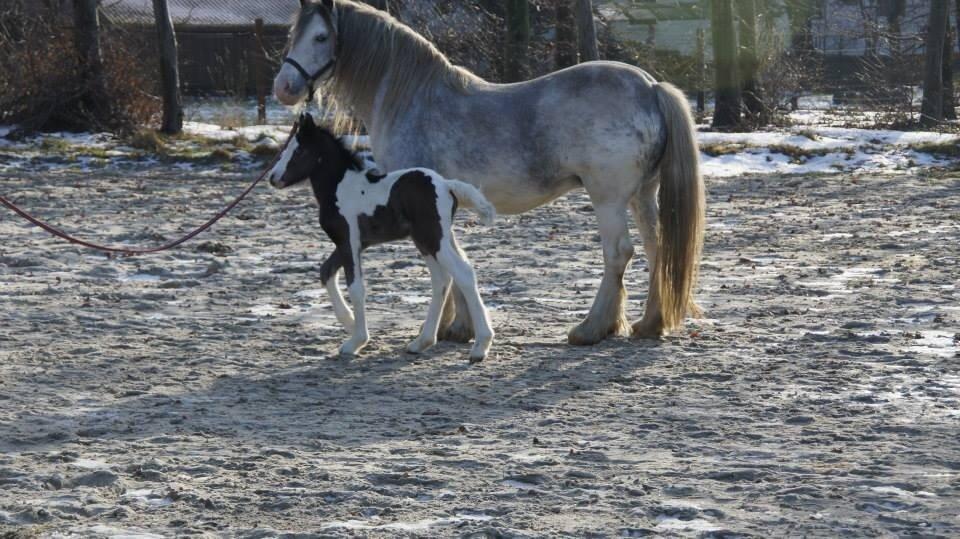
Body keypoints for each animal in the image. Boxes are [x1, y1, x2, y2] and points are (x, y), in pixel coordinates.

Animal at [268, 115, 496, 362]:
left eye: (299, 150)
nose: (273, 178)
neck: (341, 188)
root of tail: (447, 185)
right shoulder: (350, 243)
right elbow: (326, 271)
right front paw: (350, 324)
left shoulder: (349, 242)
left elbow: (356, 287)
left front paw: (356, 341)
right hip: (427, 240)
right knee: (442, 279)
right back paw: (421, 342)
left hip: (434, 238)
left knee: (462, 273)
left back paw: (480, 347)